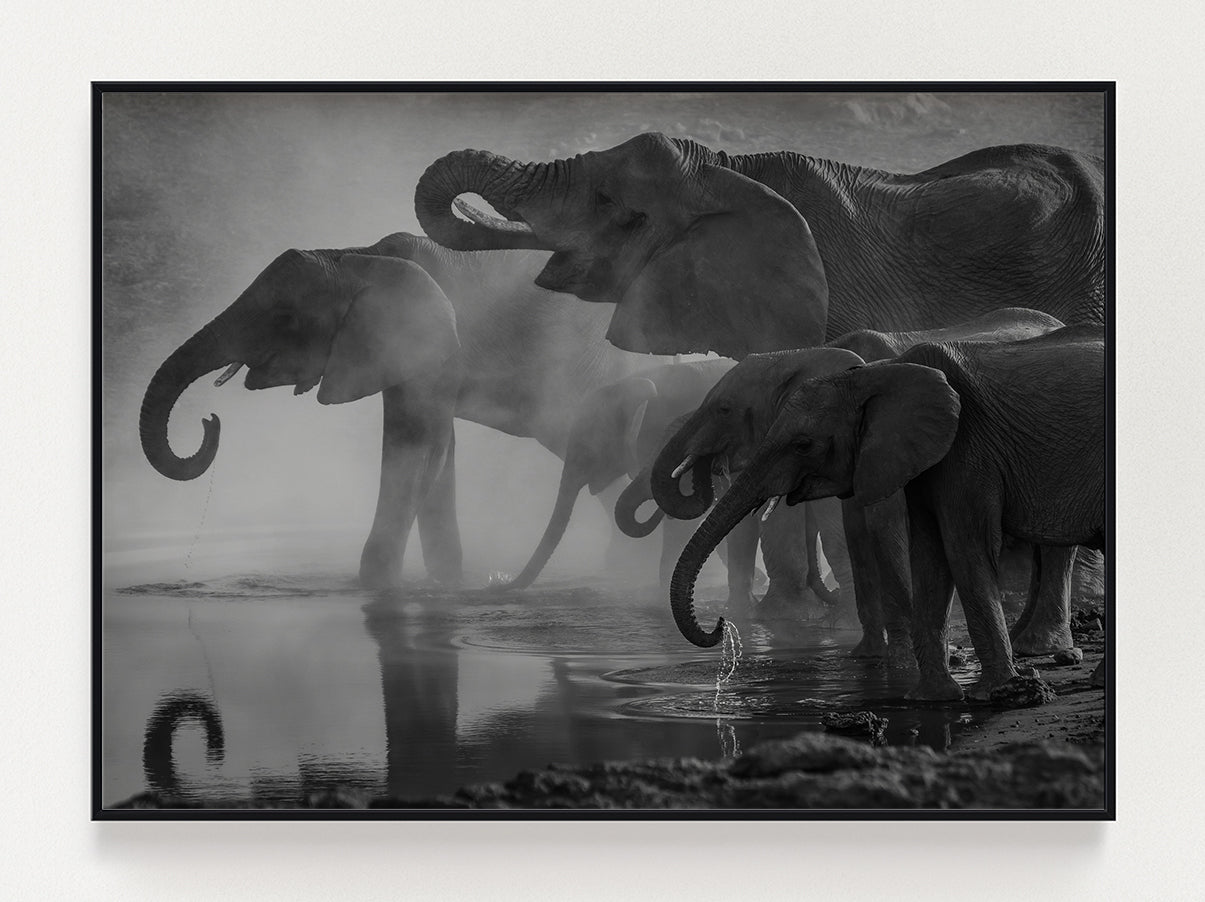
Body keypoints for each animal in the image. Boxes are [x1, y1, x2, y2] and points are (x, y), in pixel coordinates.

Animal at [139, 232, 656, 588]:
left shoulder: (429, 343)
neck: (356, 255)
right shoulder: (397, 351)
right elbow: (438, 452)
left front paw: (375, 588)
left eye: (284, 318)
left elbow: (418, 451)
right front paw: (446, 583)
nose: (210, 421)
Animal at [668, 324, 1105, 702]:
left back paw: (1046, 652)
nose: (720, 624)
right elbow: (922, 549)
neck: (868, 376)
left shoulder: (965, 447)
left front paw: (990, 692)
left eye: (803, 444)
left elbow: (959, 546)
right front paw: (928, 695)